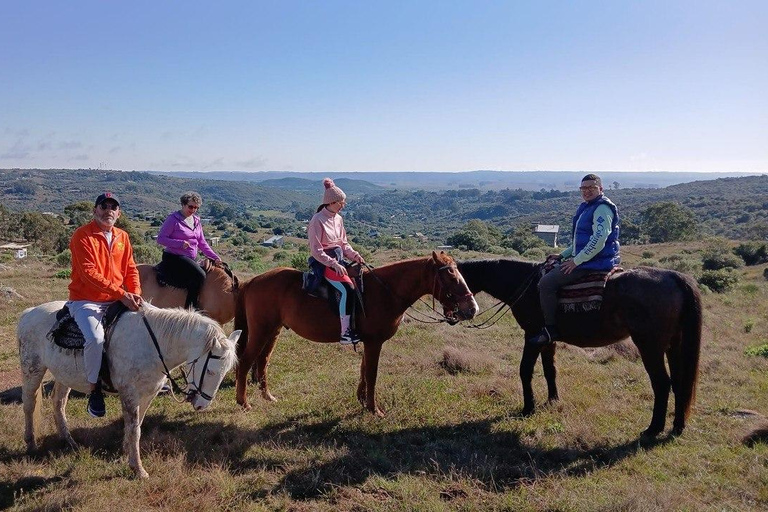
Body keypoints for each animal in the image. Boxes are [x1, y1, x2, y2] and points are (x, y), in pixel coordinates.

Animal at [18, 302, 240, 478]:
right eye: (210, 371)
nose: (202, 404)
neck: (152, 344)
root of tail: (28, 313)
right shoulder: (130, 395)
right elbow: (134, 429)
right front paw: (138, 469)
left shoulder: (148, 394)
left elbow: (137, 426)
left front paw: (127, 454)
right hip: (32, 370)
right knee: (29, 404)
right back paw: (31, 443)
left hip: (64, 375)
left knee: (58, 403)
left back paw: (68, 440)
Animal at [234, 252, 476, 416]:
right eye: (452, 277)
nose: (472, 309)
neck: (385, 291)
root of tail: (252, 281)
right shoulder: (374, 342)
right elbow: (372, 373)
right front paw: (373, 408)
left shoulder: (368, 341)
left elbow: (363, 370)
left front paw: (362, 399)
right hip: (261, 331)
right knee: (245, 361)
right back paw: (243, 402)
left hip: (272, 331)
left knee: (263, 361)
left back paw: (267, 396)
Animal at [456, 260, 704, 436]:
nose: (465, 313)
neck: (525, 285)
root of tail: (675, 277)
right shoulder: (548, 340)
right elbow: (550, 370)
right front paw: (552, 400)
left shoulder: (532, 336)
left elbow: (525, 371)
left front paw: (528, 408)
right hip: (674, 346)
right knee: (680, 383)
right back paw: (677, 426)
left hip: (650, 347)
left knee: (662, 383)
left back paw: (653, 429)